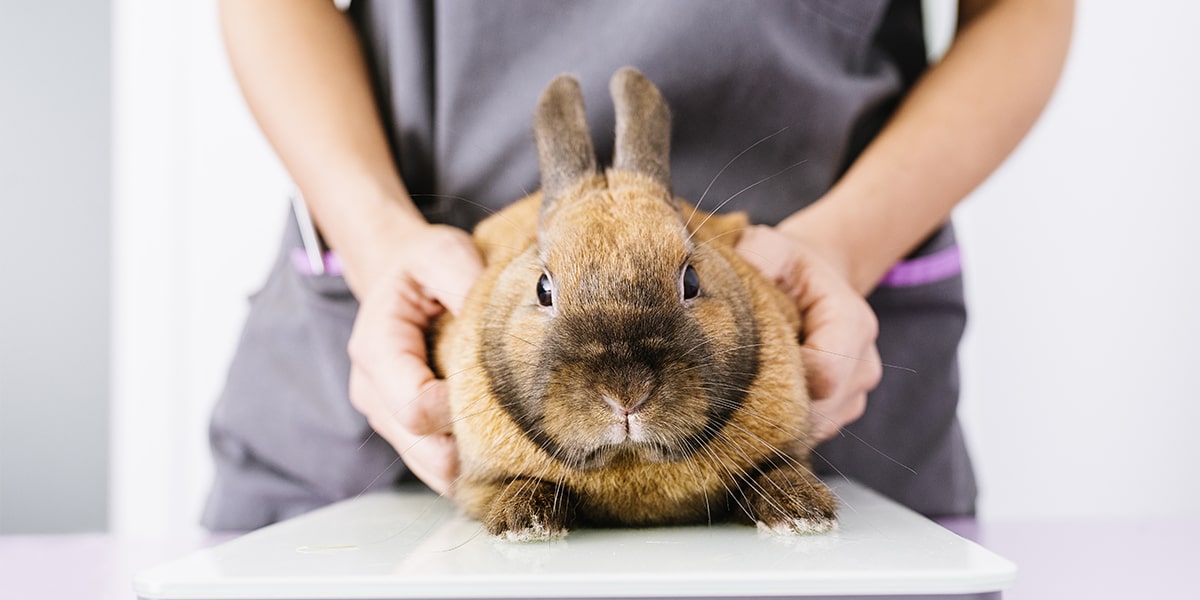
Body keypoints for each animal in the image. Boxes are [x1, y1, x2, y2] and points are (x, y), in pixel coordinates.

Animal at [432, 66, 835, 544]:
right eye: (543, 289)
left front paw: (803, 512)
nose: (625, 394)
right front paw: (523, 522)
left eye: (691, 281)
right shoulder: (480, 482)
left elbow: (773, 472)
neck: (632, 458)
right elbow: (518, 484)